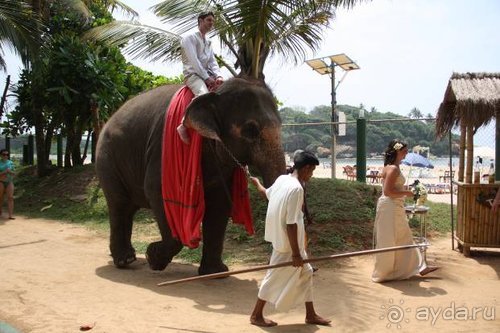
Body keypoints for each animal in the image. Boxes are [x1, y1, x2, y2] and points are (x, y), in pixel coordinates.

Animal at [95, 78, 286, 274]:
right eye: (250, 130)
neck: (216, 93)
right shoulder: (163, 151)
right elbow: (157, 192)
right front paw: (152, 258)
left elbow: (220, 204)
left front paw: (215, 273)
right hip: (107, 159)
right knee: (119, 204)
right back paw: (125, 260)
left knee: (127, 208)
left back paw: (128, 258)